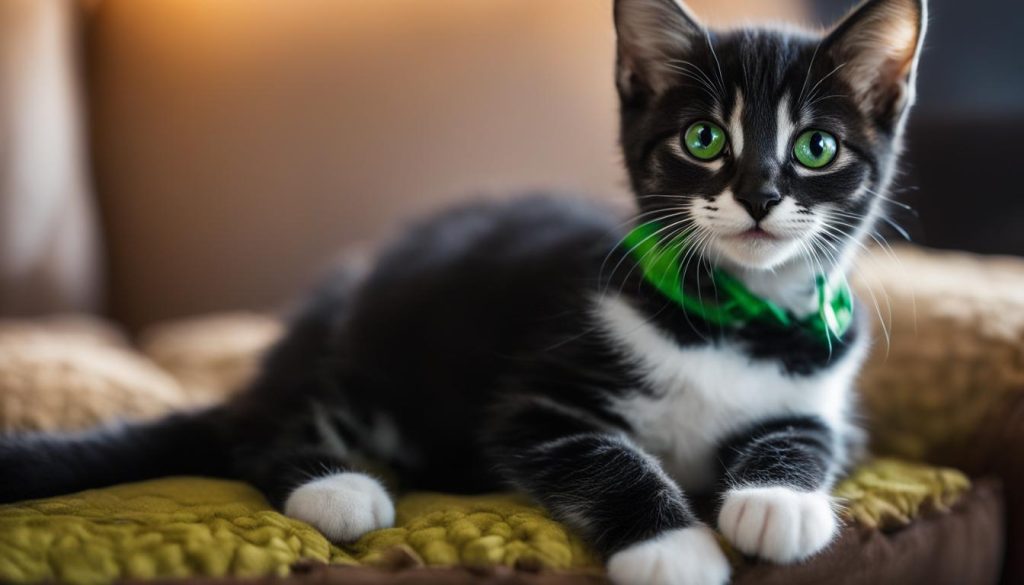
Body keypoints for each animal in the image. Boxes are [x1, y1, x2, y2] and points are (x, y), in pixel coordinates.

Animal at [2, 0, 929, 581]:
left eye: (815, 147)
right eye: (704, 138)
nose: (760, 194)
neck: (732, 314)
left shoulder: (831, 398)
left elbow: (804, 435)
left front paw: (776, 500)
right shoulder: (537, 402)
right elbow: (601, 455)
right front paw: (672, 545)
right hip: (364, 352)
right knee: (253, 431)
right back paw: (338, 485)